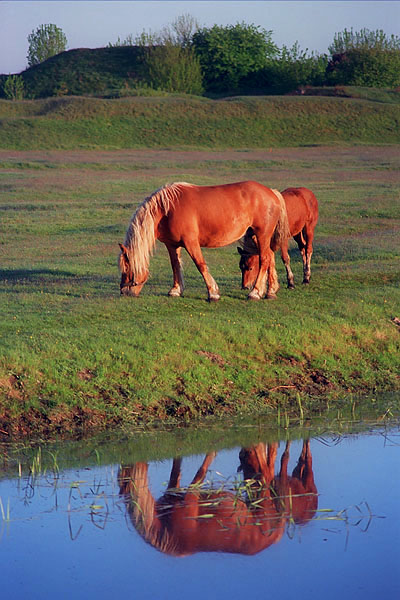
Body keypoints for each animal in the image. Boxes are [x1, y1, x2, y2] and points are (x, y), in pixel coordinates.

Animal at [117, 438, 318, 556]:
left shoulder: (190, 499)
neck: (164, 529)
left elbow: (201, 472)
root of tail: (277, 534)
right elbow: (176, 465)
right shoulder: (173, 488)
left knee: (268, 472)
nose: (136, 459)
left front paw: (212, 452)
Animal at [119, 178, 290, 300]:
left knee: (265, 259)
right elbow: (175, 265)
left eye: (126, 269)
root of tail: (272, 192)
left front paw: (213, 292)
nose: (123, 291)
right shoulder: (172, 245)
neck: (167, 209)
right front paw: (175, 290)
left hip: (262, 235)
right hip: (256, 236)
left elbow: (200, 265)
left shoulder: (191, 243)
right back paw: (270, 291)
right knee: (270, 257)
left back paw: (255, 292)